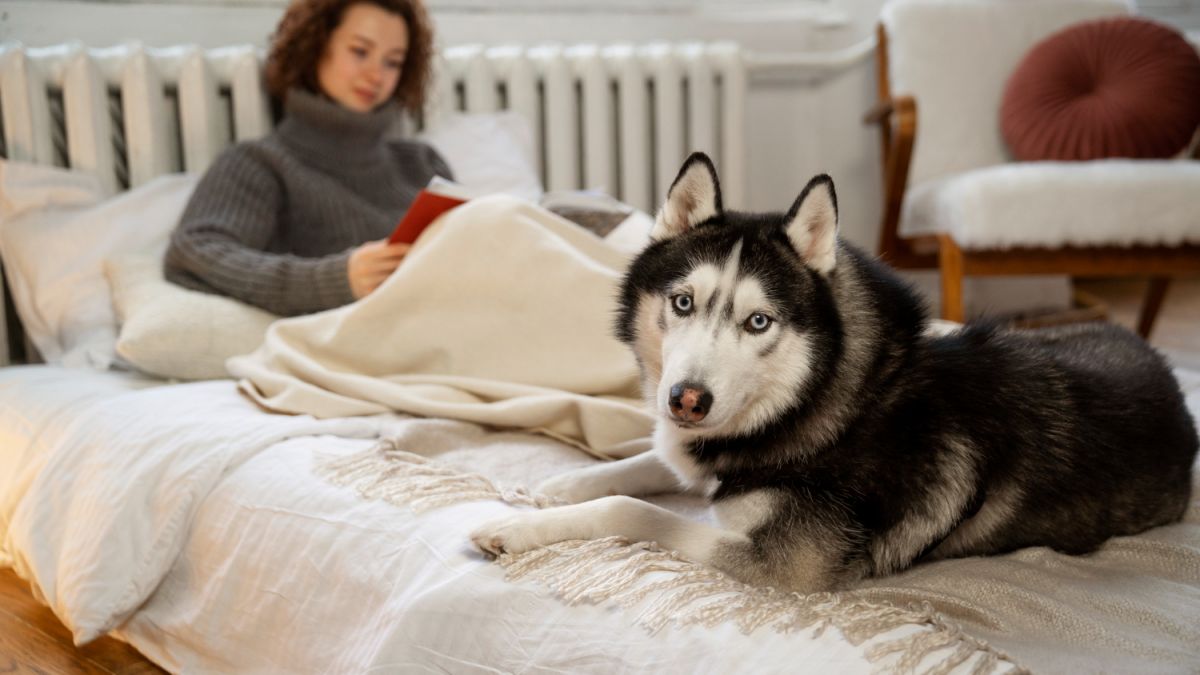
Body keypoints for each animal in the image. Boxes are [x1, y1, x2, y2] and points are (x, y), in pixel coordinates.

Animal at [470, 152, 1200, 588]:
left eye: (758, 322)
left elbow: (635, 508)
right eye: (682, 302)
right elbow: (649, 462)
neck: (830, 401)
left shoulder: (783, 563)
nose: (685, 400)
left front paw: (516, 528)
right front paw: (562, 483)